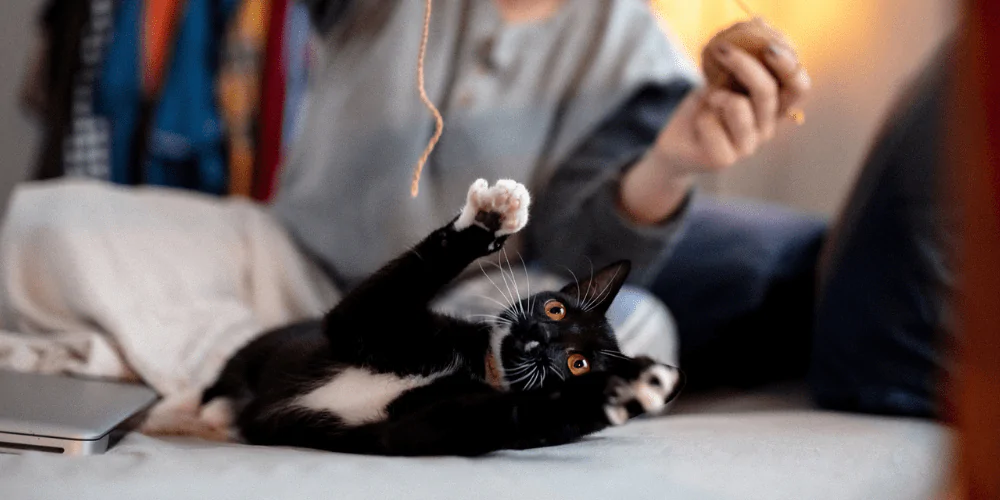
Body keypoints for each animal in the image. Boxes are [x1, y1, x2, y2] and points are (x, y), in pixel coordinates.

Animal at [199, 181, 684, 458]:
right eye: (555, 309)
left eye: (577, 364)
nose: (542, 334)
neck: (479, 367)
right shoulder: (367, 323)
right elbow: (386, 291)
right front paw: (490, 219)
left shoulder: (419, 430)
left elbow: (508, 415)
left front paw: (627, 390)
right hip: (267, 345)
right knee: (229, 374)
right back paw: (210, 410)